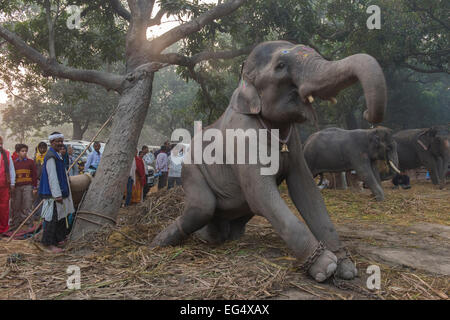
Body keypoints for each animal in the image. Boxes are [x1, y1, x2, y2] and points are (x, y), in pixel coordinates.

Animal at [150, 40, 386, 282]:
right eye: (280, 66)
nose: (367, 114)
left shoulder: (295, 142)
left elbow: (306, 191)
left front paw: (346, 266)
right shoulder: (243, 135)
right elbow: (261, 195)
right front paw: (325, 266)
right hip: (190, 170)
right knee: (202, 208)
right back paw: (160, 241)